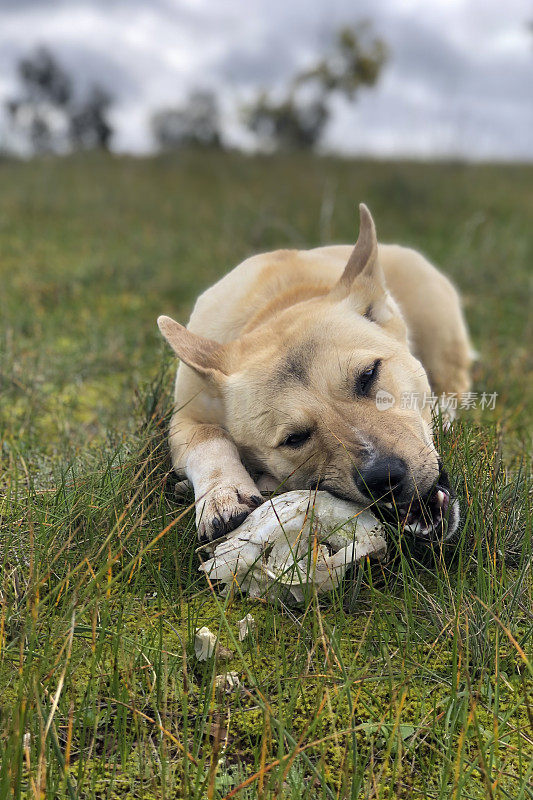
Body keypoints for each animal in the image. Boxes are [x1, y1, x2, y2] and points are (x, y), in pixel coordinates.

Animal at [157, 205, 470, 544]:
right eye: (294, 439)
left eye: (369, 374)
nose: (384, 479)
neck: (276, 305)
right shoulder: (184, 415)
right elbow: (208, 436)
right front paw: (223, 492)